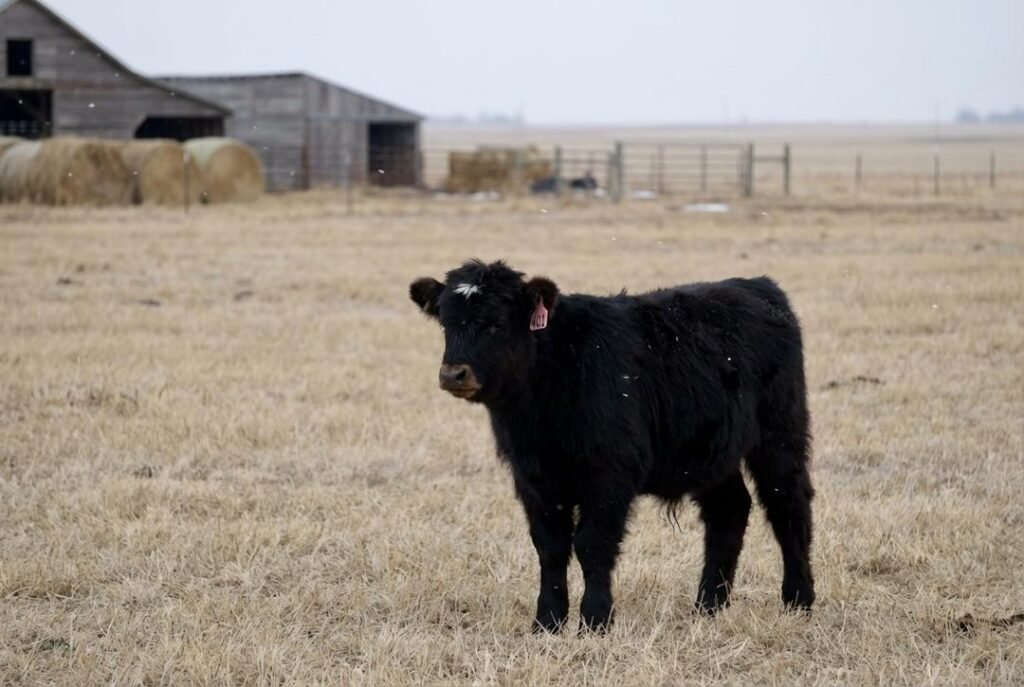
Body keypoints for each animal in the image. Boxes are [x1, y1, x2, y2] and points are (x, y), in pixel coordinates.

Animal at [409, 260, 815, 634]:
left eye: (496, 322)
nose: (453, 374)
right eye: (446, 322)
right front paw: (547, 622)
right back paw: (708, 606)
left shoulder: (608, 477)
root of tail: (759, 287)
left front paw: (595, 620)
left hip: (779, 436)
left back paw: (798, 598)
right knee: (728, 511)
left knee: (788, 504)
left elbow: (592, 544)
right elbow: (550, 547)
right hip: (712, 454)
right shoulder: (534, 480)